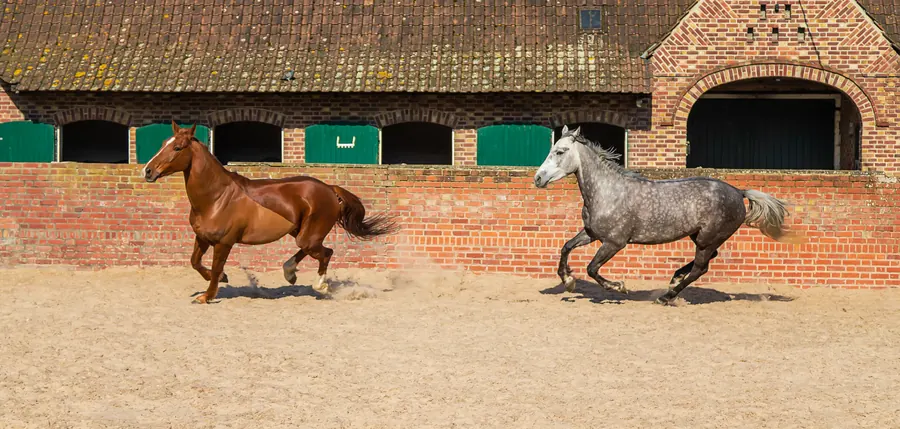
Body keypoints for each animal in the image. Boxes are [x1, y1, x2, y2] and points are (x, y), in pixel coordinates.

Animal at [142, 121, 398, 304]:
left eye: (177, 148)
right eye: (163, 142)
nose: (148, 171)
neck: (216, 198)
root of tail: (329, 189)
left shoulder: (224, 243)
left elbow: (215, 268)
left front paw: (207, 296)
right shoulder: (202, 238)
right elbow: (195, 262)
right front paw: (222, 280)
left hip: (309, 235)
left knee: (325, 252)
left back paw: (320, 286)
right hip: (299, 232)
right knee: (310, 251)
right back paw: (290, 273)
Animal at [533, 125, 804, 305]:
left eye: (560, 151)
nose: (538, 178)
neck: (607, 191)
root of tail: (738, 192)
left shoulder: (614, 242)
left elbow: (592, 268)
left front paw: (619, 287)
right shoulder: (591, 234)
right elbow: (566, 248)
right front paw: (568, 282)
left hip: (707, 238)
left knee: (701, 267)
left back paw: (666, 296)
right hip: (700, 236)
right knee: (706, 261)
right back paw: (674, 279)